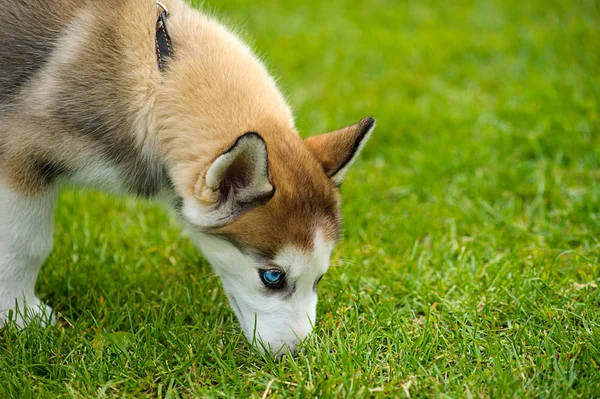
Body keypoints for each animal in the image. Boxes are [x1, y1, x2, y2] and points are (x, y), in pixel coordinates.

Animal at [0, 0, 376, 356]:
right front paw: (21, 316)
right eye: (273, 277)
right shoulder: (19, 151)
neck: (158, 78)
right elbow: (26, 244)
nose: (297, 356)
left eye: (320, 277)